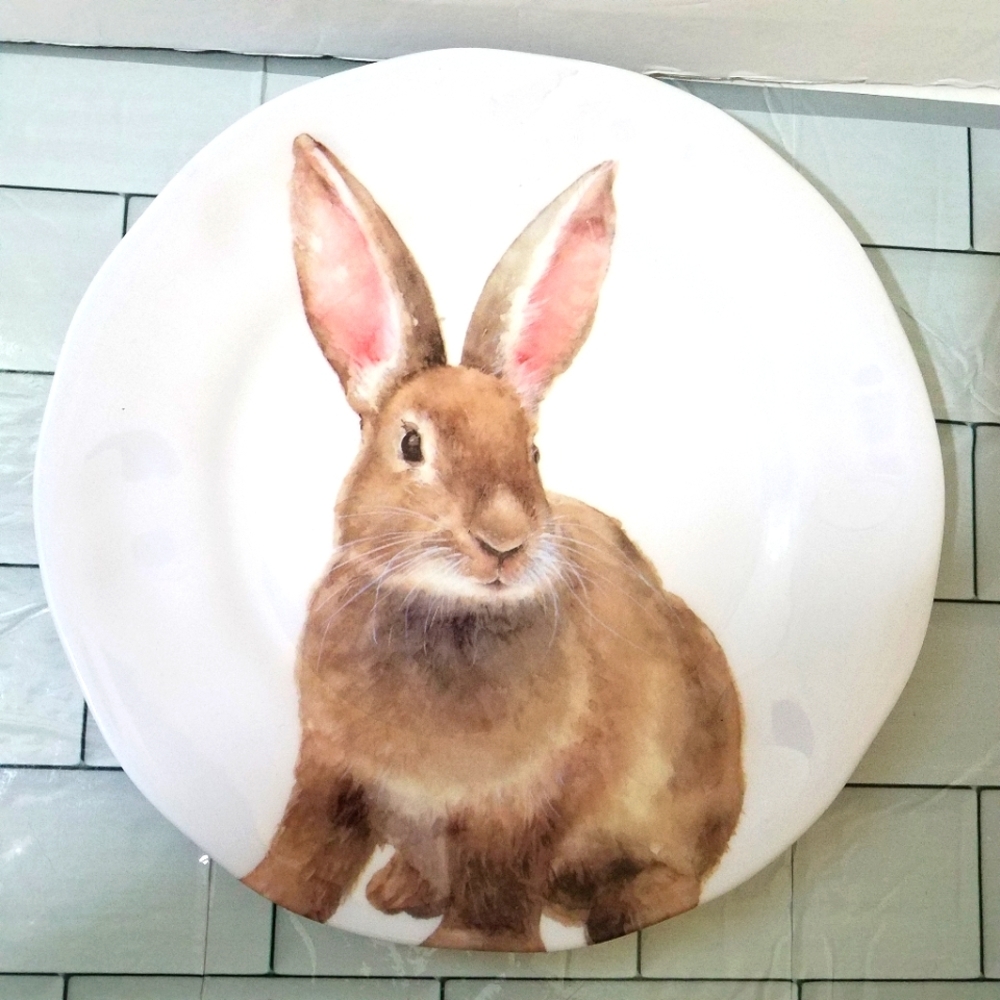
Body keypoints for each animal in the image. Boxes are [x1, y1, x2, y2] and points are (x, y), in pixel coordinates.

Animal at [242, 133, 744, 951]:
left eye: (533, 452)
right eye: (411, 444)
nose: (505, 540)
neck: (445, 611)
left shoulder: (519, 812)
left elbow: (495, 892)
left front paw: (471, 949)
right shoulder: (330, 774)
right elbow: (306, 853)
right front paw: (270, 891)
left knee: (662, 885)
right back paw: (393, 889)